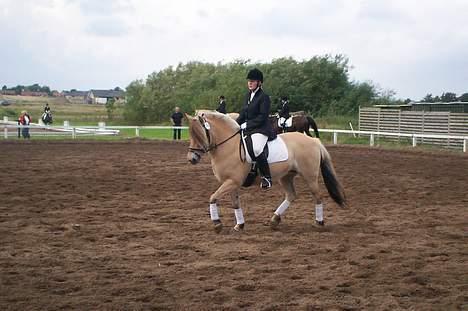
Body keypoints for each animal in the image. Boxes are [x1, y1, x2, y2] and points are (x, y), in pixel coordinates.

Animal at [185, 111, 346, 233]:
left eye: (199, 134)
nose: (192, 158)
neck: (229, 146)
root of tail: (314, 141)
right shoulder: (231, 183)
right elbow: (235, 204)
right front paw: (239, 225)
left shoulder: (232, 182)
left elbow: (212, 197)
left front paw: (217, 224)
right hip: (286, 176)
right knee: (291, 195)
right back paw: (274, 220)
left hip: (310, 176)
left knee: (317, 196)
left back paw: (319, 222)